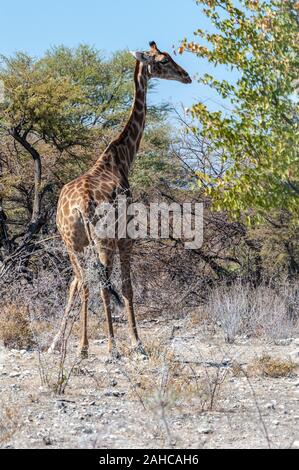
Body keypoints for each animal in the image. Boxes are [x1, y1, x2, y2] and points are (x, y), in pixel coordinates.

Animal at [48, 42, 191, 358]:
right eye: (164, 60)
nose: (186, 76)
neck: (121, 158)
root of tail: (79, 206)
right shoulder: (126, 235)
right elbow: (126, 286)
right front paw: (137, 343)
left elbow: (79, 284)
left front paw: (57, 343)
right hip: (101, 240)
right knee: (98, 284)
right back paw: (107, 346)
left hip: (71, 242)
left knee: (81, 282)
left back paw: (78, 346)